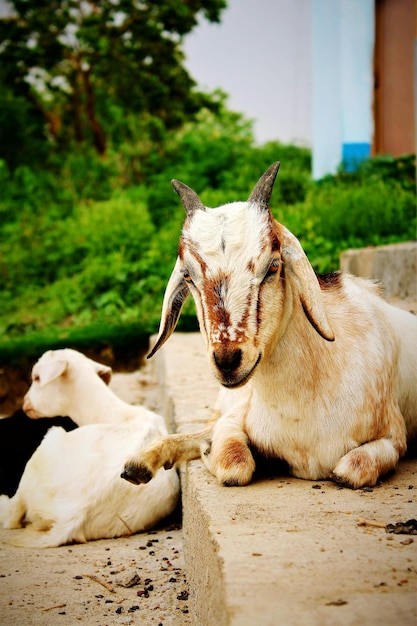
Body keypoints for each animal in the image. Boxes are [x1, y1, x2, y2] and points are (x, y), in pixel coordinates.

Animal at [0, 348, 179, 544]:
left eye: (37, 377)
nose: (26, 403)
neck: (119, 414)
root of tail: (71, 516)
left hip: (42, 453)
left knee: (13, 515)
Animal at [122, 163, 416, 490]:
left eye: (273, 266)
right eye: (188, 276)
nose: (227, 361)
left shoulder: (394, 436)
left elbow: (350, 469)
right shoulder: (235, 422)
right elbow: (234, 464)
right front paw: (209, 453)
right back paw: (139, 464)